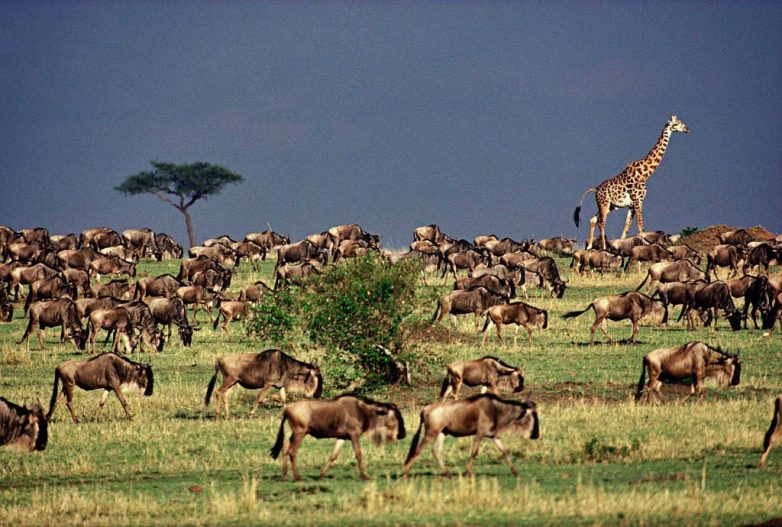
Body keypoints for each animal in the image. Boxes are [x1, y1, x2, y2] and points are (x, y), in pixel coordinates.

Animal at [572, 114, 688, 251]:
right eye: (676, 123)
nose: (687, 129)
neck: (644, 174)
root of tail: (595, 189)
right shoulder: (638, 200)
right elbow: (641, 227)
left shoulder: (631, 205)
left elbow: (626, 228)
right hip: (604, 203)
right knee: (601, 222)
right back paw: (603, 247)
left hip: (609, 205)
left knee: (593, 219)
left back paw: (590, 246)